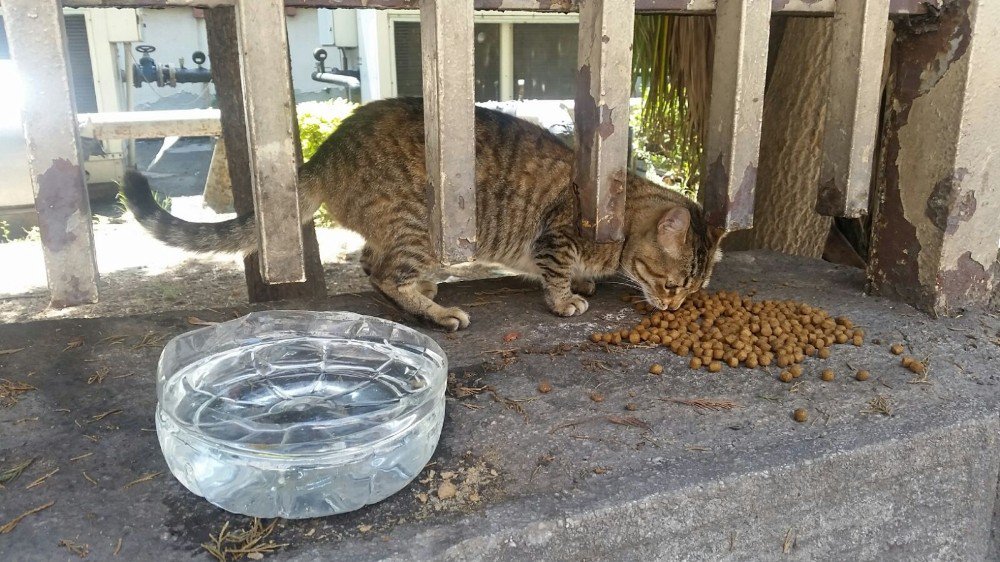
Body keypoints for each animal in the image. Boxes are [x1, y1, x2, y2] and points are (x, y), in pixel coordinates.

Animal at [125, 96, 724, 328]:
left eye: (692, 292)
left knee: (372, 265)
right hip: (419, 228)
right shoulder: (553, 237)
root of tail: (327, 149)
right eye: (673, 286)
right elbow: (553, 276)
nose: (674, 308)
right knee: (386, 272)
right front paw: (566, 297)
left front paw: (586, 282)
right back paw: (436, 311)